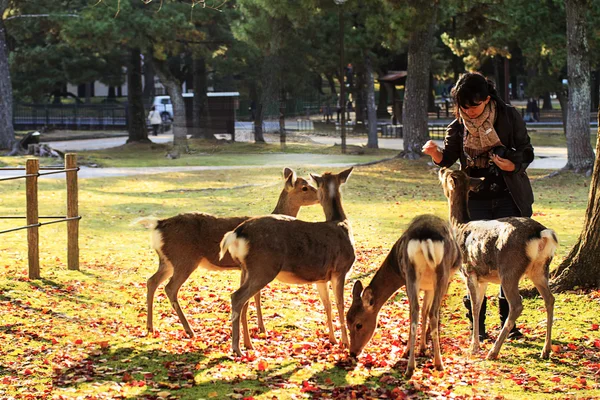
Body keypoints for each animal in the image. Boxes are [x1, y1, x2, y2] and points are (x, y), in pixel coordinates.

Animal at [135, 167, 318, 340]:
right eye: (304, 187)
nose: (319, 195)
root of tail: (158, 225)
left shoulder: (245, 268)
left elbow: (255, 296)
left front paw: (260, 328)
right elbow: (254, 296)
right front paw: (260, 329)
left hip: (167, 260)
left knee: (151, 281)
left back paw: (150, 327)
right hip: (184, 258)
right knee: (170, 288)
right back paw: (189, 330)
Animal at [218, 166, 354, 356]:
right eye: (306, 187)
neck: (340, 221)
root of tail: (236, 233)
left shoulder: (321, 278)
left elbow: (327, 305)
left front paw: (332, 340)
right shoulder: (340, 270)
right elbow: (341, 304)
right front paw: (345, 343)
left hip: (246, 269)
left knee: (244, 301)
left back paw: (248, 344)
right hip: (264, 266)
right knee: (237, 297)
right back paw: (237, 349)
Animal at [344, 214, 462, 376]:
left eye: (358, 324)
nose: (353, 352)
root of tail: (425, 238)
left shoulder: (417, 284)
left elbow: (421, 311)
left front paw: (418, 348)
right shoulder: (432, 285)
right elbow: (426, 311)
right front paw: (423, 347)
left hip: (412, 273)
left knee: (415, 312)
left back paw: (410, 366)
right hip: (441, 274)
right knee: (431, 312)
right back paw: (438, 364)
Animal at [436, 167, 556, 360]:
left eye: (448, 175)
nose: (441, 168)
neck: (459, 227)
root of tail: (541, 233)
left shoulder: (469, 271)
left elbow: (474, 306)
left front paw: (474, 346)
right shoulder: (482, 277)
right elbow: (478, 305)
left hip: (510, 269)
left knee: (516, 304)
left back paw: (493, 352)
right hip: (540, 268)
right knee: (550, 299)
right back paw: (546, 350)